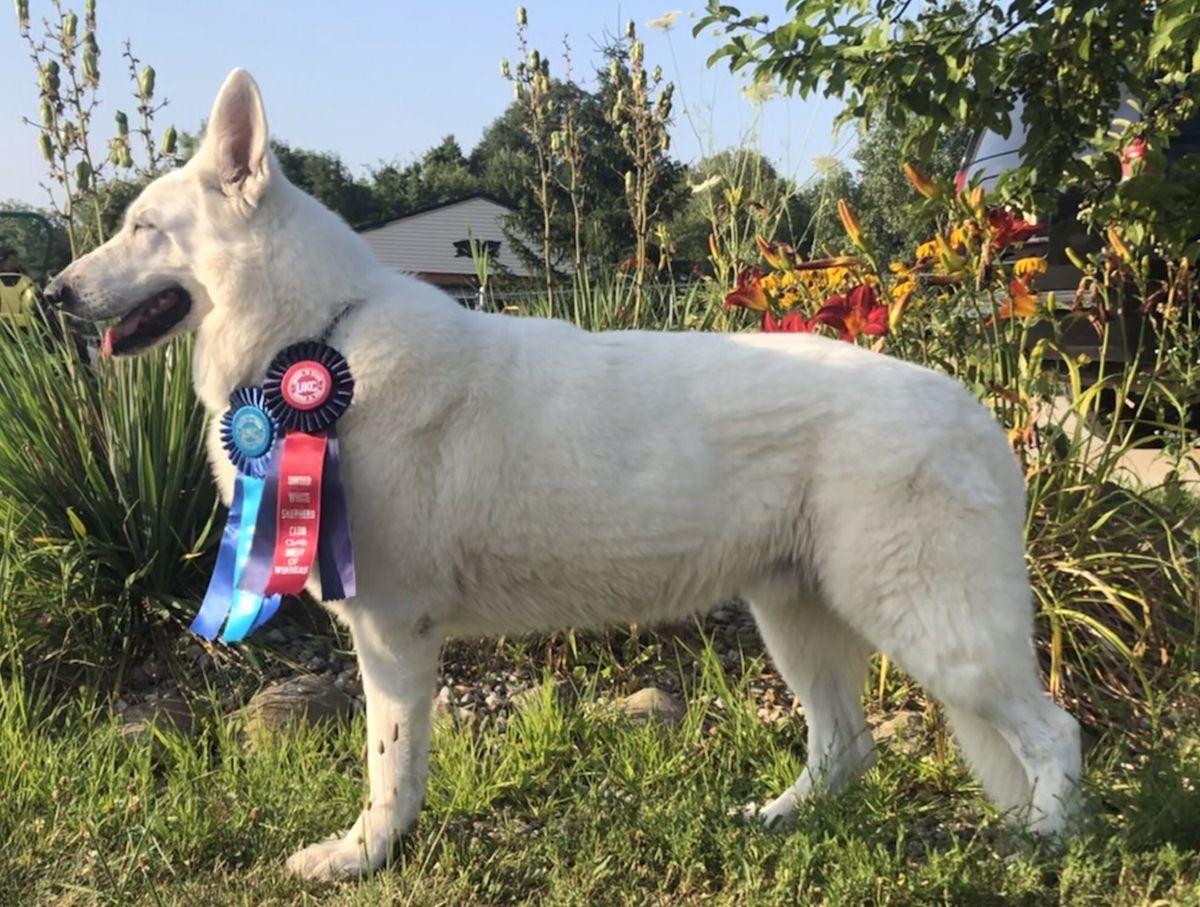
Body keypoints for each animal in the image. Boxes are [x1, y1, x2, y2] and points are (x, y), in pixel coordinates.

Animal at [44, 68, 1080, 878]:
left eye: (142, 228)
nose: (52, 293)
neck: (320, 335)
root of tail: (980, 417)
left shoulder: (393, 631)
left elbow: (387, 766)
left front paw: (365, 856)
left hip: (929, 629)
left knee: (1052, 732)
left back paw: (1040, 846)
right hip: (798, 619)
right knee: (846, 747)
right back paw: (777, 821)